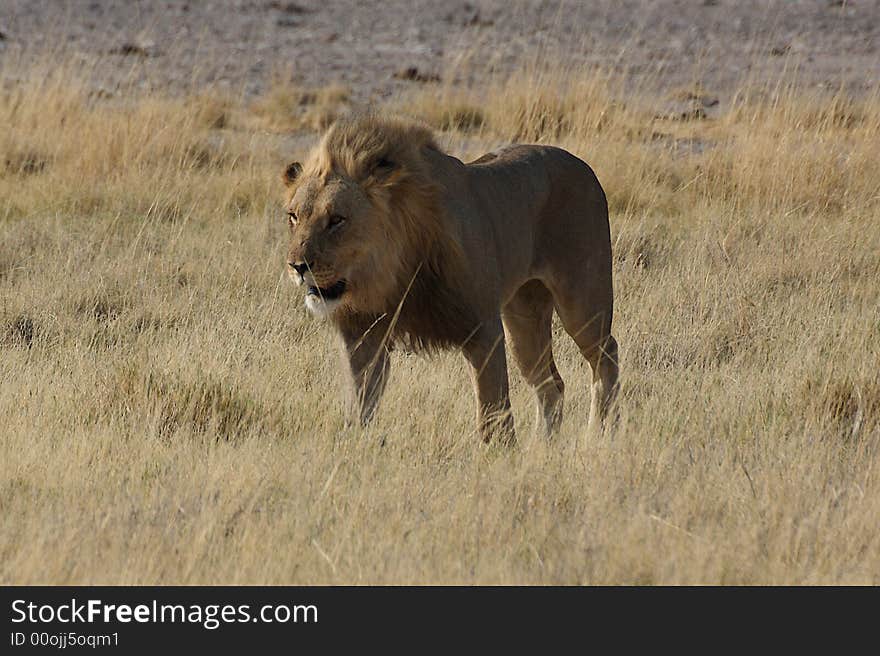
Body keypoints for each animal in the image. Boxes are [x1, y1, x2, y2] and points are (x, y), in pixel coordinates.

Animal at [284, 114, 620, 440]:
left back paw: (600, 435)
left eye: (337, 220)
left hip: (582, 302)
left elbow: (493, 413)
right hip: (524, 316)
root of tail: (582, 165)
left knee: (606, 356)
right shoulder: (362, 334)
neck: (390, 273)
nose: (297, 266)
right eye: (294, 217)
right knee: (551, 385)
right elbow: (360, 405)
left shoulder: (483, 329)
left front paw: (499, 454)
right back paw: (542, 447)